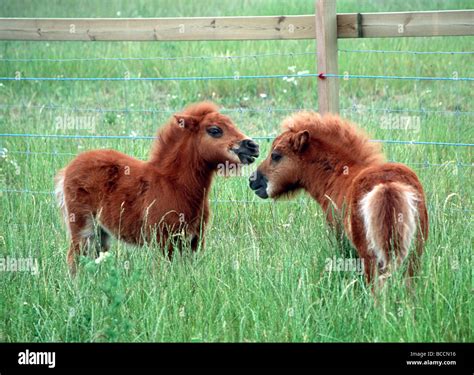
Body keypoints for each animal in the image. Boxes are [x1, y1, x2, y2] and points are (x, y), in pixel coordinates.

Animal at [55, 101, 260, 274]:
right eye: (215, 130)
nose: (253, 146)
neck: (175, 185)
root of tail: (67, 169)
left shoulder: (194, 240)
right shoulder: (163, 240)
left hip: (101, 233)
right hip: (82, 228)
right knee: (74, 260)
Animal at [252, 111, 430, 288]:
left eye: (276, 155)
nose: (252, 180)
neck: (339, 174)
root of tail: (387, 185)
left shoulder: (338, 235)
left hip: (372, 256)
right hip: (414, 253)